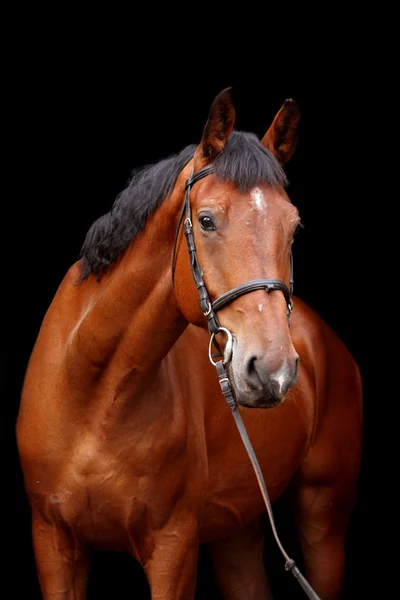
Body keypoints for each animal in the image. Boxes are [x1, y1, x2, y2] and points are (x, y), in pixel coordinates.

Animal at [15, 89, 362, 600]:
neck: (93, 398)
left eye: (294, 227)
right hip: (238, 530)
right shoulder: (53, 543)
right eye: (206, 220)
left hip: (324, 516)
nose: (273, 370)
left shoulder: (173, 547)